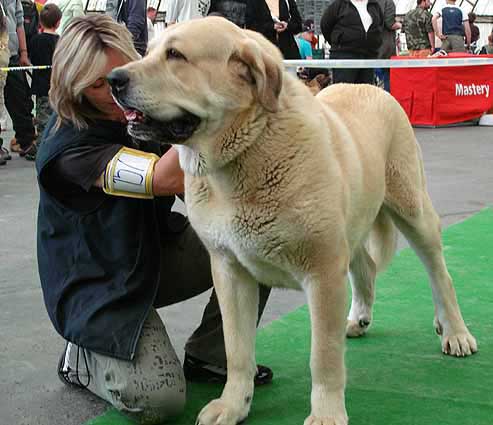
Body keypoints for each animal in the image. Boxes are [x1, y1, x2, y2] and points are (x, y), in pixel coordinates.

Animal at [107, 16, 476, 424]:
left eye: (175, 55)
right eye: (148, 51)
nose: (113, 79)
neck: (248, 151)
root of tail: (373, 88)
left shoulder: (323, 273)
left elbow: (324, 357)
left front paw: (327, 414)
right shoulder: (230, 272)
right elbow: (237, 350)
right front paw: (234, 404)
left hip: (412, 209)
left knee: (440, 274)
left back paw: (454, 331)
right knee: (364, 264)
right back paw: (359, 317)